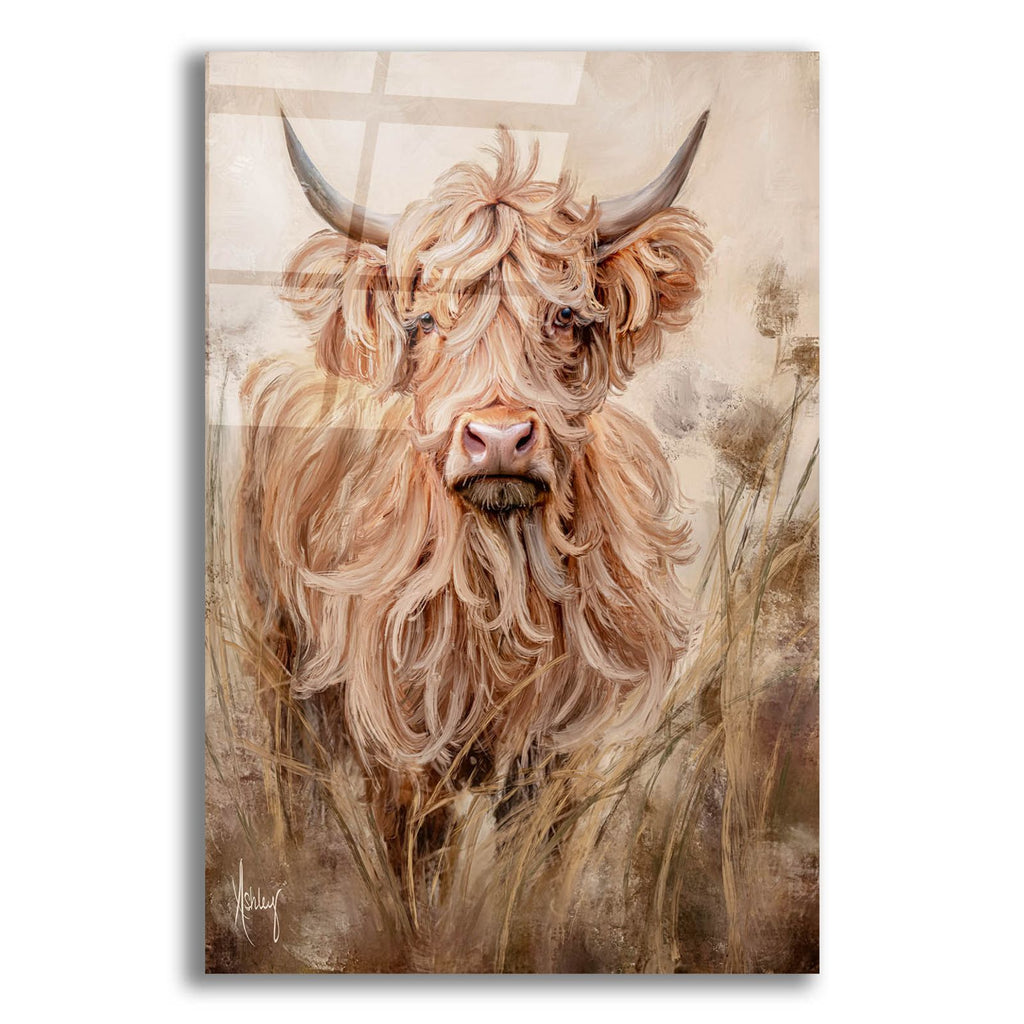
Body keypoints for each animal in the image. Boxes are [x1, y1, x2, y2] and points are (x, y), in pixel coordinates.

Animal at [237, 111, 713, 858]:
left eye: (566, 316)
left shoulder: (557, 753)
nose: (498, 438)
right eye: (424, 321)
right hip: (273, 650)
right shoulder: (401, 754)